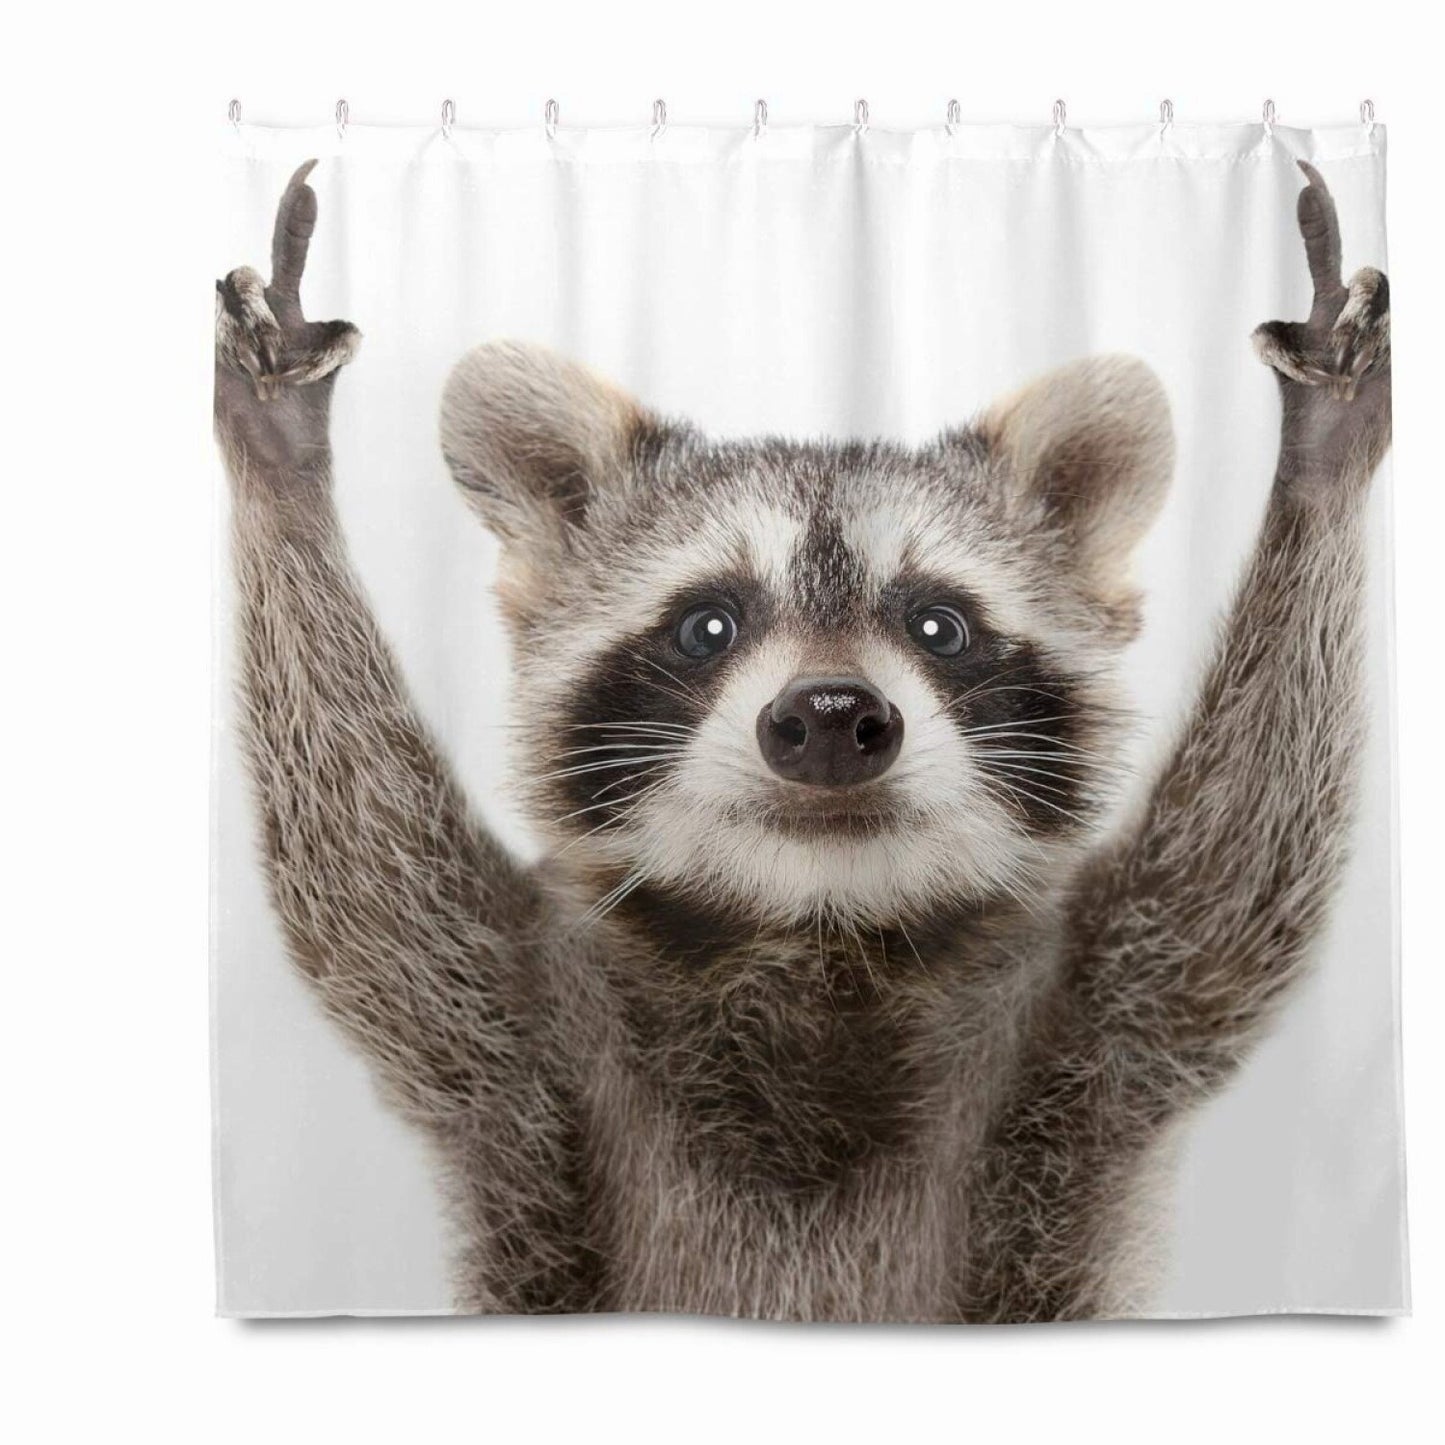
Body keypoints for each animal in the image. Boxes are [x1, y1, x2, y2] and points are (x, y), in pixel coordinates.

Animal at [214, 160, 1392, 1321]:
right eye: (707, 625)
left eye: (938, 625)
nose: (829, 719)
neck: (816, 932)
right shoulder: (517, 1019)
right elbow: (367, 877)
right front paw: (282, 463)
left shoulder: (1094, 1019)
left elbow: (1233, 877)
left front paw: (1319, 456)